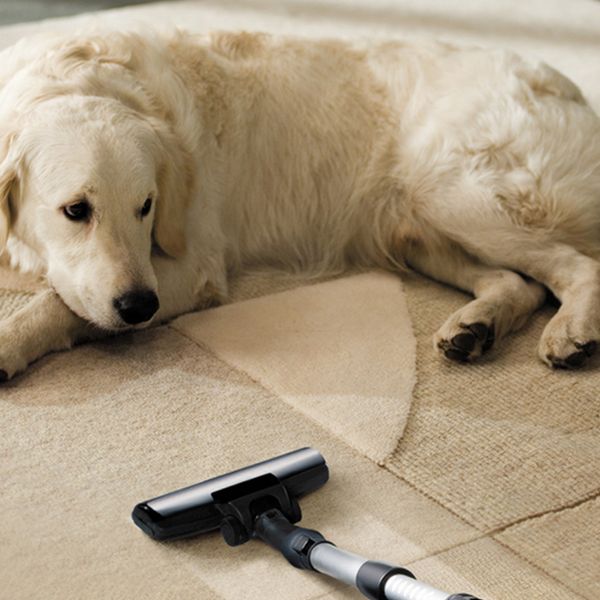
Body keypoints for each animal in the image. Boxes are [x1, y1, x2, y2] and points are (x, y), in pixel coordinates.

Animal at [1, 30, 600, 380]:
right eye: (75, 210)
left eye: (146, 206)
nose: (139, 307)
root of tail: (568, 85)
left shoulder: (193, 265)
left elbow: (61, 304)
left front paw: (8, 343)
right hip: (417, 227)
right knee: (518, 282)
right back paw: (475, 328)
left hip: (455, 193)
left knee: (579, 265)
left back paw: (569, 332)